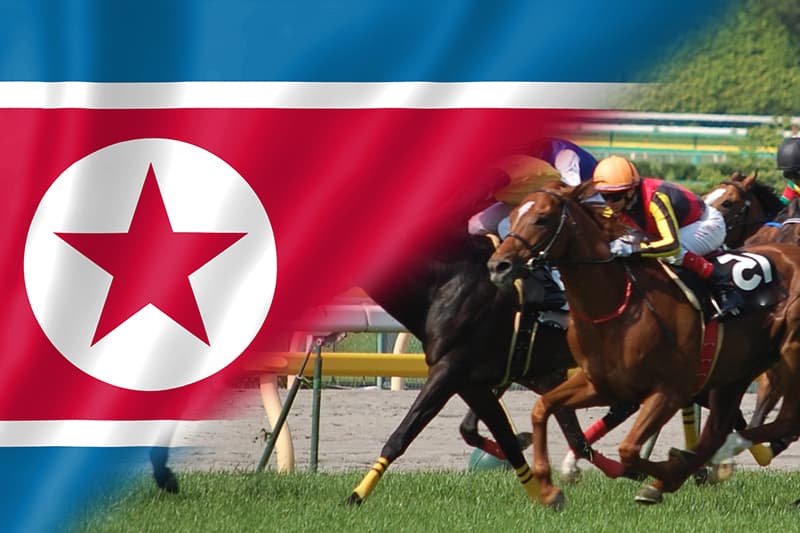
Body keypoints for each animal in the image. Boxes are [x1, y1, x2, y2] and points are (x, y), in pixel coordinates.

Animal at [487, 182, 800, 507]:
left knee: (787, 421)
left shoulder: (670, 391)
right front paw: (549, 489)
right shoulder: (600, 384)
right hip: (736, 372)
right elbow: (542, 408)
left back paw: (724, 453)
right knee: (719, 430)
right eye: (513, 215)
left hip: (789, 353)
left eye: (542, 219)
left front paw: (667, 470)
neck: (617, 305)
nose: (498, 265)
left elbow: (629, 450)